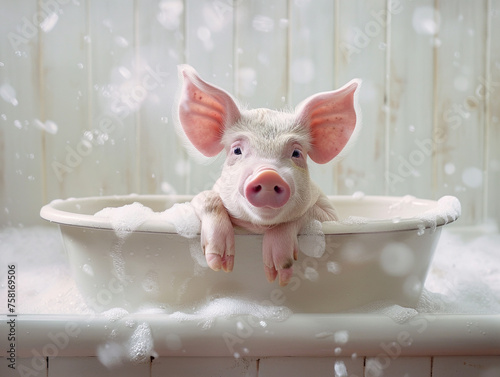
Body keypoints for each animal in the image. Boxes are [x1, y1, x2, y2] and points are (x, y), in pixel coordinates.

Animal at [176, 65, 360, 284]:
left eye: (296, 153)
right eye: (236, 150)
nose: (268, 175)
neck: (258, 228)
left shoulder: (330, 215)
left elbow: (305, 214)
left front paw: (278, 275)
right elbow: (207, 199)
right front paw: (219, 263)